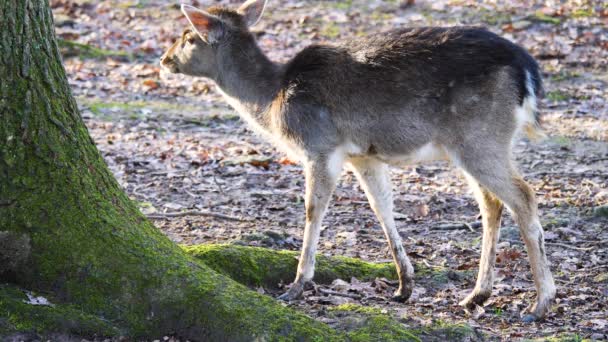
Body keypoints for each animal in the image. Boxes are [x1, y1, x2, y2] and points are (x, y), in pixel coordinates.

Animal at [160, 0, 556, 322]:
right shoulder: (363, 156)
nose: (164, 60)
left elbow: (313, 209)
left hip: (481, 136)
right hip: (475, 143)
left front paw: (296, 285)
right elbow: (382, 207)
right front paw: (404, 285)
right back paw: (476, 296)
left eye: (188, 35)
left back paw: (539, 304)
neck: (272, 99)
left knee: (523, 196)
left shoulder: (320, 145)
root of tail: (528, 72)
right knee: (492, 203)